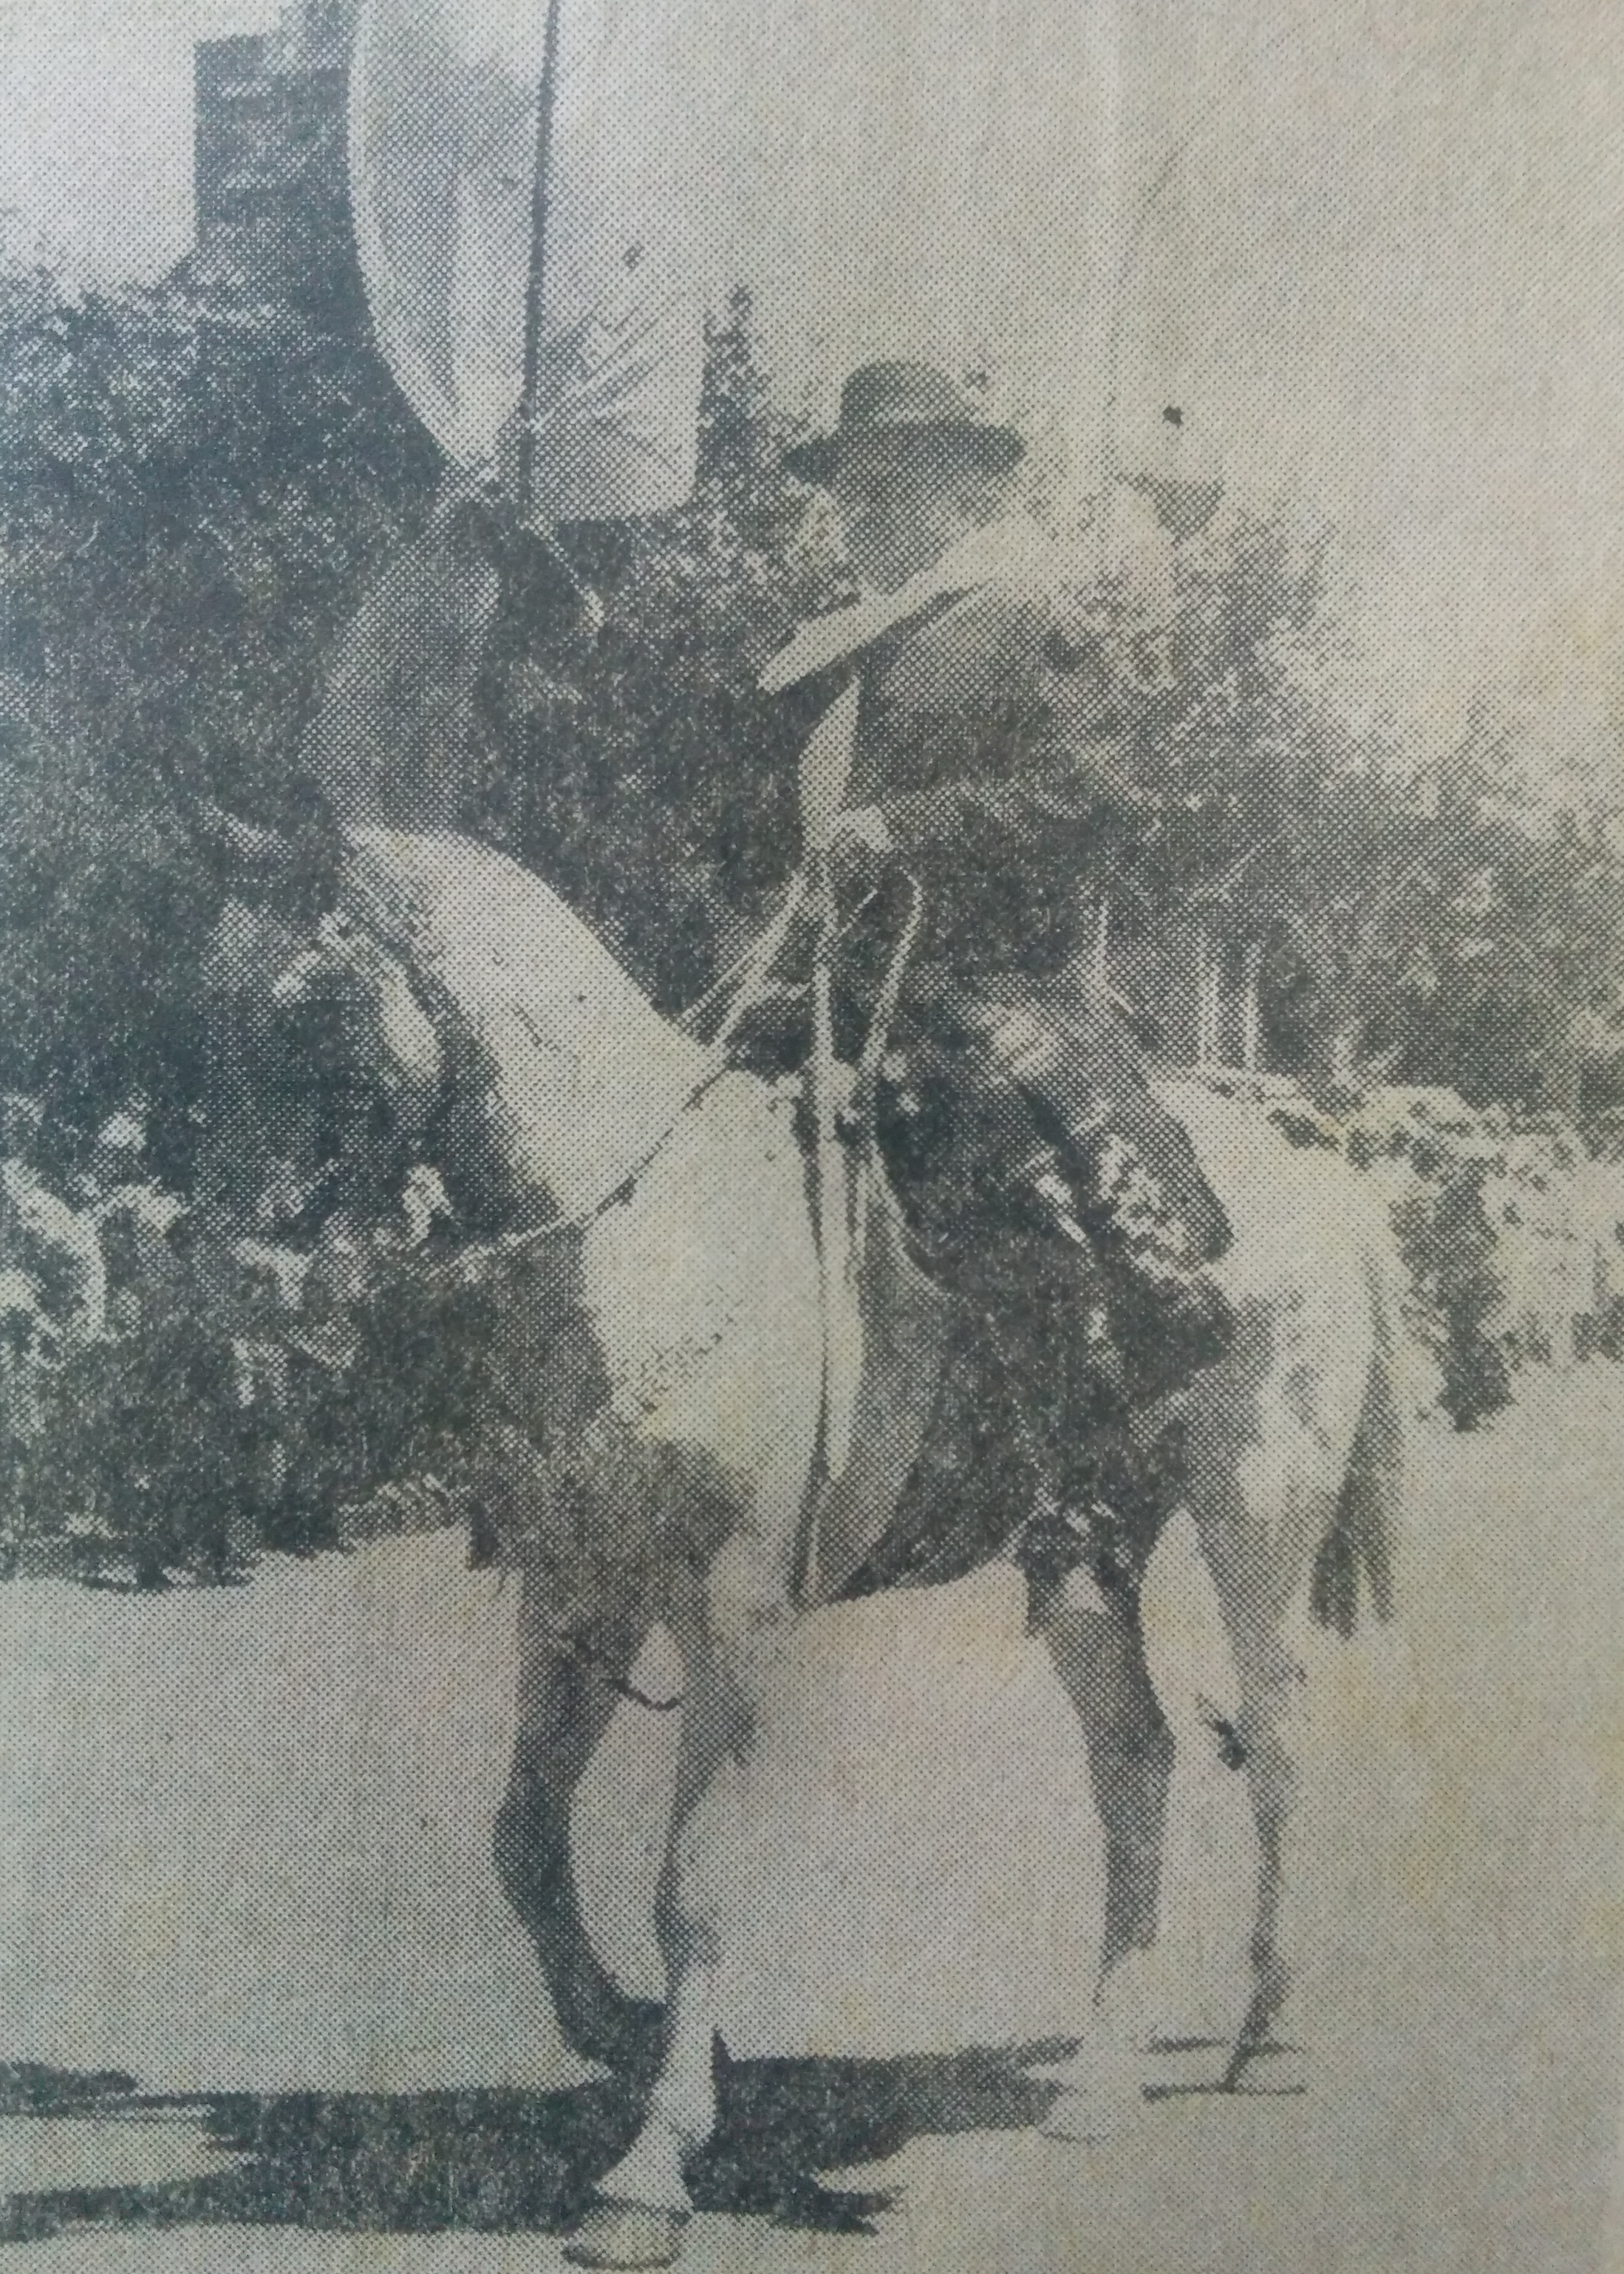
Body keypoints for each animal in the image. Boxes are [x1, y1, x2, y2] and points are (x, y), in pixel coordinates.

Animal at [271, 828, 1401, 2264]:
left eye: (314, 1015)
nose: (282, 1264)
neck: (656, 1231)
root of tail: (1314, 1170)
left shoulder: (731, 1609)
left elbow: (691, 1887)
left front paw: (651, 2166)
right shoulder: (582, 1581)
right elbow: (524, 1831)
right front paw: (615, 2028)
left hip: (1258, 1507)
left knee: (1275, 1745)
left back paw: (1262, 2027)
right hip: (1082, 1539)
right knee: (1135, 1759)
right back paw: (1096, 2075)